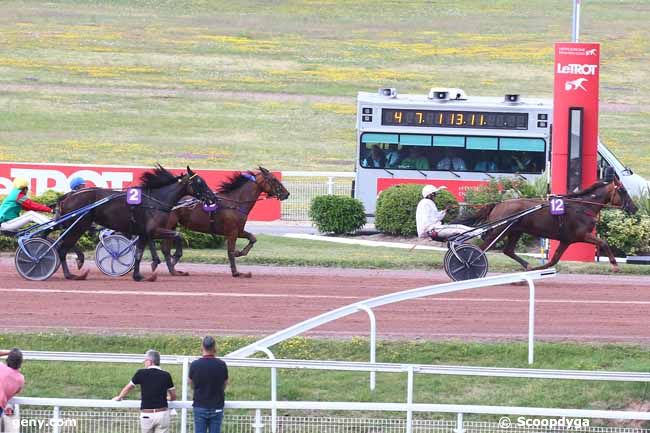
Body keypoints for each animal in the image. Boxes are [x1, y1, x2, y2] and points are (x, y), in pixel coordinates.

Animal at [58, 165, 215, 280]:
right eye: (199, 182)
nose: (212, 197)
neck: (155, 201)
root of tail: (68, 196)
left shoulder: (144, 233)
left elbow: (138, 254)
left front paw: (138, 275)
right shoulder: (154, 230)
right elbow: (178, 235)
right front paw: (175, 256)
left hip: (77, 226)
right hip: (78, 225)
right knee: (62, 248)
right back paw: (70, 274)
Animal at [156, 165, 288, 276]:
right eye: (274, 179)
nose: (287, 194)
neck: (236, 203)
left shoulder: (239, 230)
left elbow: (252, 238)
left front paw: (240, 253)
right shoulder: (232, 232)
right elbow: (230, 251)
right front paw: (236, 272)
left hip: (172, 225)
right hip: (169, 224)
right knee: (165, 247)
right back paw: (172, 267)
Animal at [460, 177, 636, 272]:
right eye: (623, 191)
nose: (634, 208)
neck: (582, 206)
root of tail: (498, 204)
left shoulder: (566, 240)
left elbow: (553, 261)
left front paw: (535, 270)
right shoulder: (581, 235)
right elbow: (603, 243)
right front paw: (615, 265)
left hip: (515, 231)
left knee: (508, 250)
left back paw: (527, 265)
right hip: (499, 231)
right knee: (481, 249)